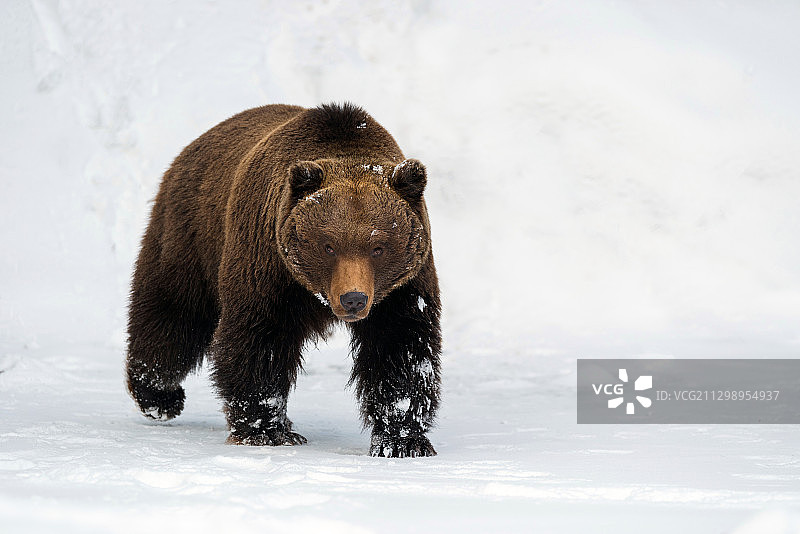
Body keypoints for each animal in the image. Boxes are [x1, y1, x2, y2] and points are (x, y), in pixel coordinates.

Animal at [125, 103, 440, 460]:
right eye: (328, 245)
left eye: (378, 247)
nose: (353, 299)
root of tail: (192, 147)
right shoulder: (269, 265)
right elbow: (260, 339)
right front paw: (266, 430)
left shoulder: (402, 287)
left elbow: (402, 349)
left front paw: (403, 441)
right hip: (192, 234)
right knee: (173, 313)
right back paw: (159, 396)